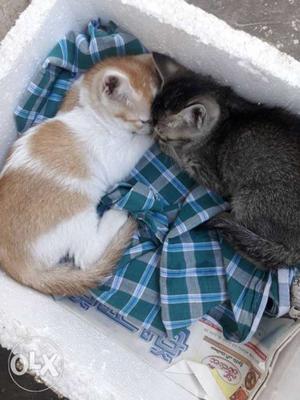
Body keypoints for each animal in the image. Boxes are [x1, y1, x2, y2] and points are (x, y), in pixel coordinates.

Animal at [0, 54, 159, 296]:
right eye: (145, 120)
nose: (153, 125)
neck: (88, 111)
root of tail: (17, 268)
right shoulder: (115, 158)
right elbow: (135, 146)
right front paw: (156, 135)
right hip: (78, 211)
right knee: (86, 256)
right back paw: (116, 215)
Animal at [152, 52, 300, 268]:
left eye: (161, 133)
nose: (152, 130)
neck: (226, 114)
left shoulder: (210, 175)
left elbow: (182, 157)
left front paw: (167, 145)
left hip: (247, 200)